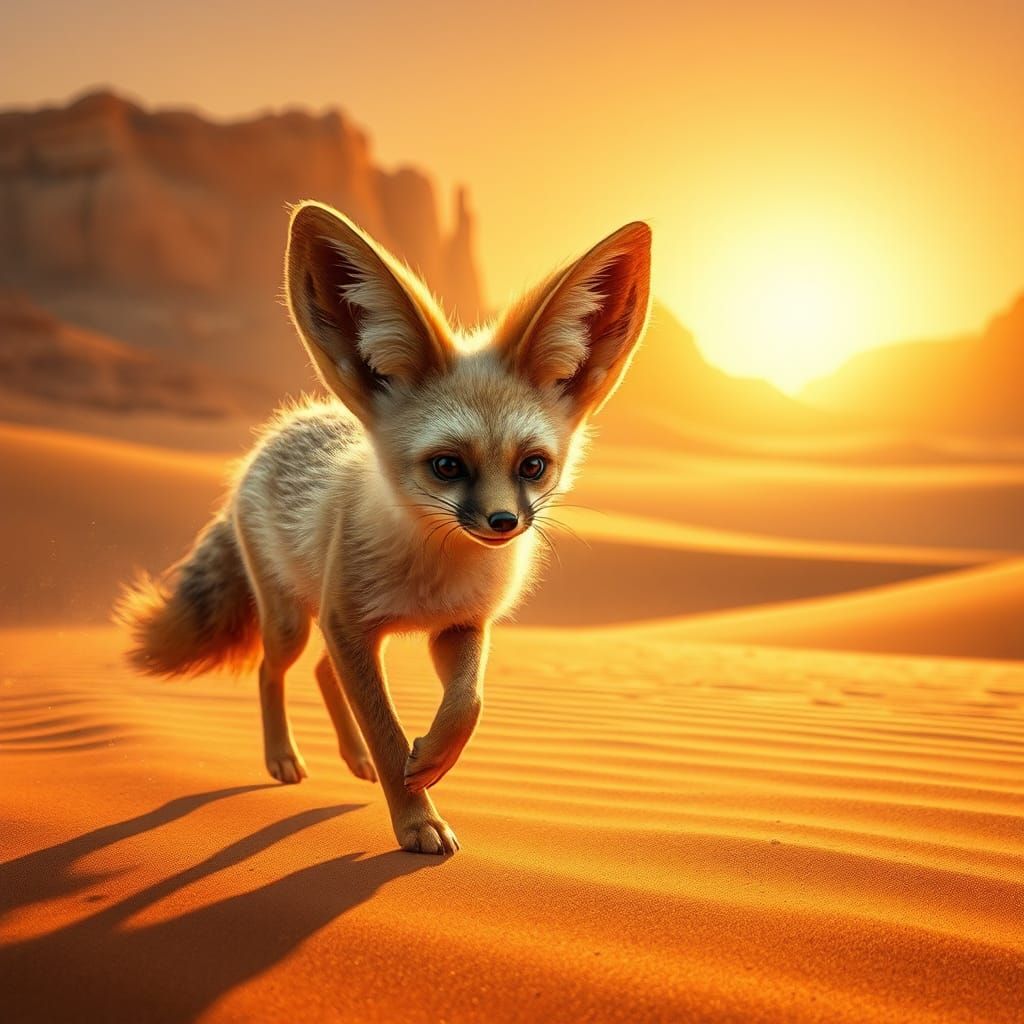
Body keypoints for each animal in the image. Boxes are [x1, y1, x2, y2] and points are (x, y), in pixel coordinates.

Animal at [117, 201, 651, 855]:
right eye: (447, 466)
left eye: (532, 466)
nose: (504, 523)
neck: (433, 575)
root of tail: (273, 436)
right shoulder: (351, 624)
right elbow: (386, 729)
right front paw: (417, 818)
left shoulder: (459, 626)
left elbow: (467, 703)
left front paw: (432, 761)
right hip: (294, 620)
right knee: (275, 668)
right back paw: (283, 758)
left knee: (322, 670)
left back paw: (355, 760)